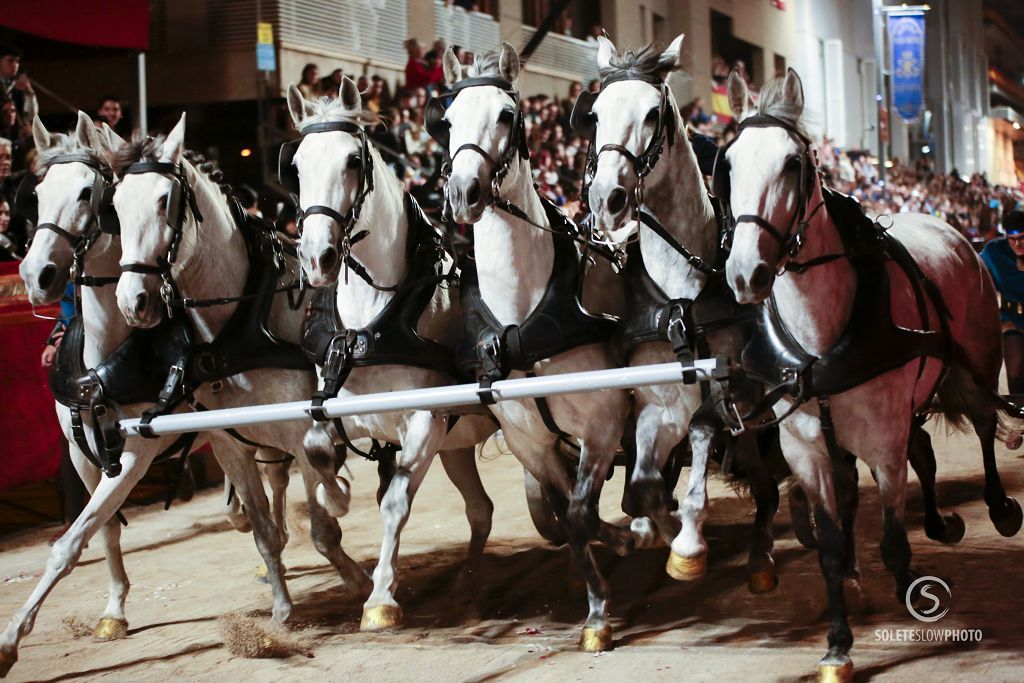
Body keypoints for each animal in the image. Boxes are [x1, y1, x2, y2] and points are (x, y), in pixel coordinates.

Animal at [1, 112, 296, 679]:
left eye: (88, 193)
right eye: (38, 193)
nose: (36, 274)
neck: (106, 353)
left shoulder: (136, 452)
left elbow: (71, 541)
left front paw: (10, 642)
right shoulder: (82, 452)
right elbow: (103, 530)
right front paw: (114, 611)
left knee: (275, 474)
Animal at [286, 78, 497, 630]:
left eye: (352, 161)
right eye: (295, 165)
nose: (316, 257)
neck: (372, 320)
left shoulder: (425, 422)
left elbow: (395, 502)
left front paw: (381, 596)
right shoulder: (336, 409)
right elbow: (317, 452)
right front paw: (336, 494)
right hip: (458, 445)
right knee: (481, 509)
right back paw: (467, 588)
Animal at [438, 44, 643, 651]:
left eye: (507, 115)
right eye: (446, 121)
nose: (465, 193)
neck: (521, 313)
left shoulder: (603, 422)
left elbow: (580, 513)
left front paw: (607, 592)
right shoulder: (529, 440)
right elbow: (566, 513)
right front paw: (602, 587)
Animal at [581, 36, 786, 593]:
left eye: (653, 114)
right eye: (594, 115)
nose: (606, 199)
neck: (683, 292)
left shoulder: (729, 392)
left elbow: (703, 434)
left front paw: (687, 541)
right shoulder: (657, 402)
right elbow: (644, 486)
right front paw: (656, 528)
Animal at [724, 68, 1019, 679]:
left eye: (793, 163)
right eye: (731, 163)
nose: (745, 273)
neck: (823, 338)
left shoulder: (883, 436)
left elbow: (892, 535)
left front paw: (908, 586)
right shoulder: (806, 447)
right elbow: (833, 544)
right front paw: (838, 645)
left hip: (977, 360)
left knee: (982, 423)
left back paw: (998, 508)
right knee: (924, 451)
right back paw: (939, 523)